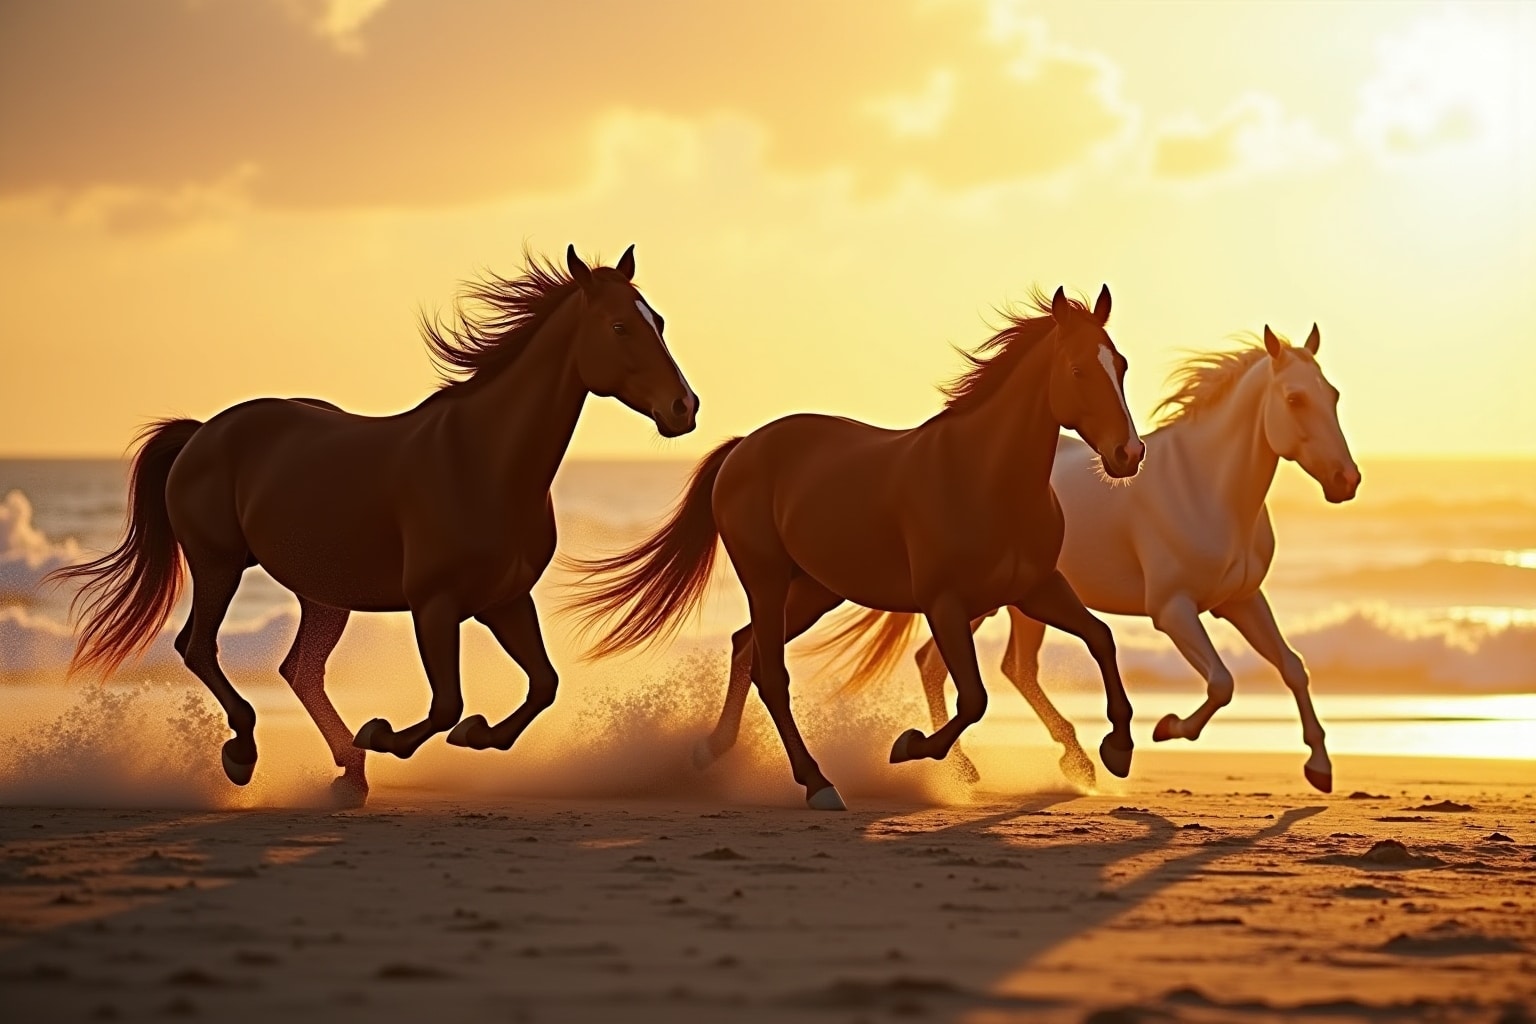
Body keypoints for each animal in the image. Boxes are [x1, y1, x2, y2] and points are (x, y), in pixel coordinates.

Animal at [48, 245, 697, 807]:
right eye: (620, 326)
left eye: (661, 322)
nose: (684, 409)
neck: (483, 461)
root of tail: (203, 431)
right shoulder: (435, 603)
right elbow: (447, 703)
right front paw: (383, 733)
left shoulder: (505, 601)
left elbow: (542, 685)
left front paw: (477, 734)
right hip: (218, 563)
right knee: (199, 646)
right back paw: (246, 753)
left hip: (323, 593)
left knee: (300, 669)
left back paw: (349, 775)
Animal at [564, 286, 1144, 810]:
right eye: (1077, 370)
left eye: (1120, 365)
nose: (1128, 453)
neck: (983, 475)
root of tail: (745, 446)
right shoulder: (945, 603)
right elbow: (974, 697)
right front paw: (911, 747)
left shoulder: (1036, 589)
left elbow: (1101, 638)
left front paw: (1115, 750)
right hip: (766, 578)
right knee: (770, 672)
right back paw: (817, 784)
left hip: (814, 590)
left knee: (745, 647)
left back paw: (712, 751)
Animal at [723, 324, 1356, 793]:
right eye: (1295, 399)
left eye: (1334, 396)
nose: (1346, 481)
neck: (1204, 488)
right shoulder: (1172, 609)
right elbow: (1222, 682)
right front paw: (1169, 728)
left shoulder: (1241, 601)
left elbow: (1292, 665)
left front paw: (1319, 768)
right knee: (951, 663)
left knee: (992, 667)